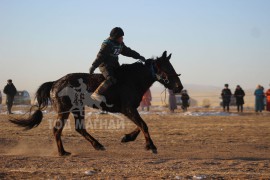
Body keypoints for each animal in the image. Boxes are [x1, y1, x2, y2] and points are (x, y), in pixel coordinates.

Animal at [10, 51, 184, 156]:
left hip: (77, 109)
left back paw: (97, 145)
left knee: (79, 128)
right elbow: (143, 125)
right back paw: (63, 152)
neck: (132, 79)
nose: (179, 87)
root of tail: (55, 83)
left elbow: (140, 125)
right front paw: (151, 146)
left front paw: (127, 138)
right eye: (166, 67)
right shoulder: (128, 109)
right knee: (57, 130)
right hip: (65, 110)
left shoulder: (130, 109)